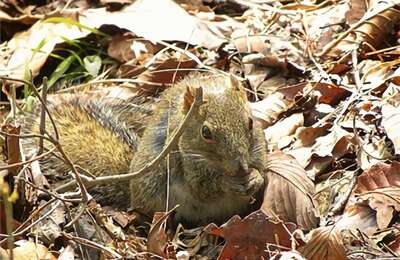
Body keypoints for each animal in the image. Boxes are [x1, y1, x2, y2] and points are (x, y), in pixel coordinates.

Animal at [24, 73, 268, 225]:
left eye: (250, 122)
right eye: (205, 132)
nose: (240, 167)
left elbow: (263, 171)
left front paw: (254, 177)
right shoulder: (186, 159)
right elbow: (202, 189)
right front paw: (228, 182)